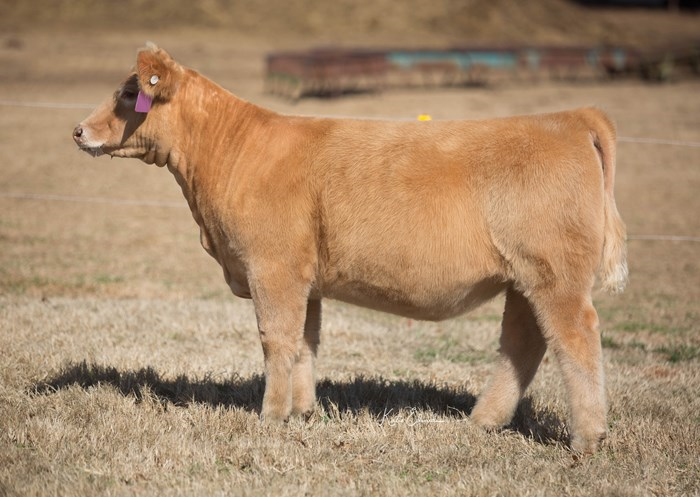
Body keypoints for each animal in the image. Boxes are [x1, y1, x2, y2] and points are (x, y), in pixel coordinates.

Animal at [73, 44, 627, 454]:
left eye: (129, 91)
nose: (78, 130)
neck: (232, 152)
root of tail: (571, 117)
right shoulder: (304, 277)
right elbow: (305, 342)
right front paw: (302, 413)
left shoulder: (271, 267)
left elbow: (276, 339)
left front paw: (269, 416)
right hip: (523, 280)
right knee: (523, 345)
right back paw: (482, 423)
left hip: (555, 277)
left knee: (575, 338)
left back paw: (588, 438)